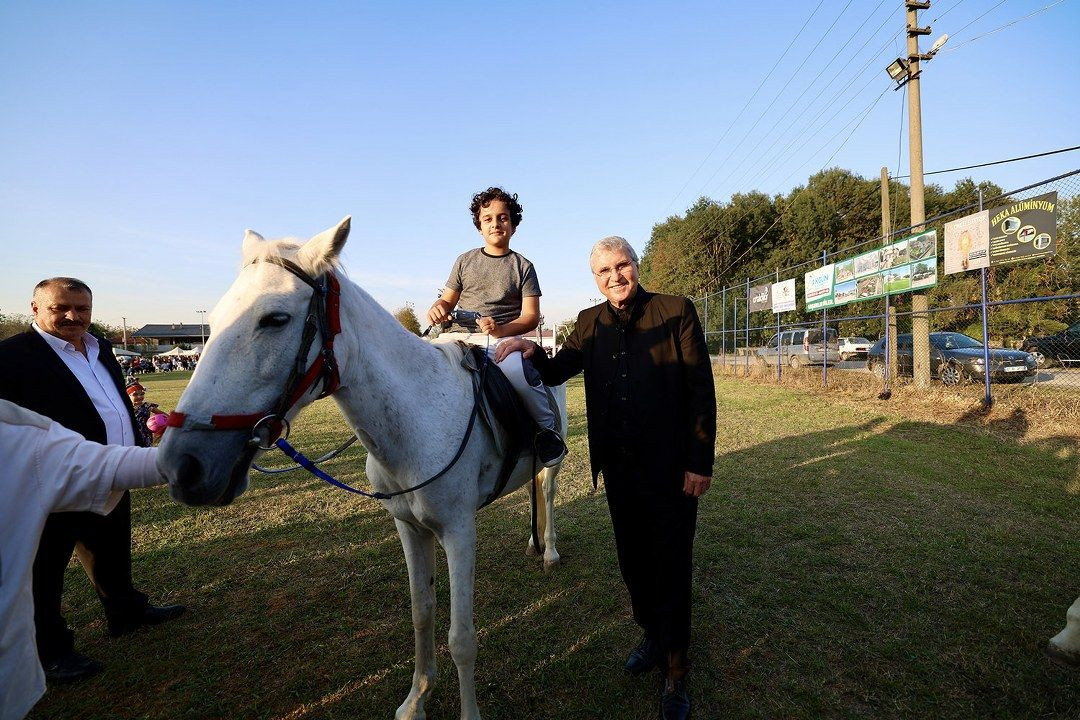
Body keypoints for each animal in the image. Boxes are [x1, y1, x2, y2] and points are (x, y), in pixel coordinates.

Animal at [158, 216, 570, 716]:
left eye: (275, 319)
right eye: (213, 320)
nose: (182, 466)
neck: (416, 417)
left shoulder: (458, 531)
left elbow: (462, 639)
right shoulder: (409, 528)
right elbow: (421, 614)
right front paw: (416, 699)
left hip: (552, 460)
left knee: (546, 490)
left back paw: (548, 551)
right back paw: (532, 543)